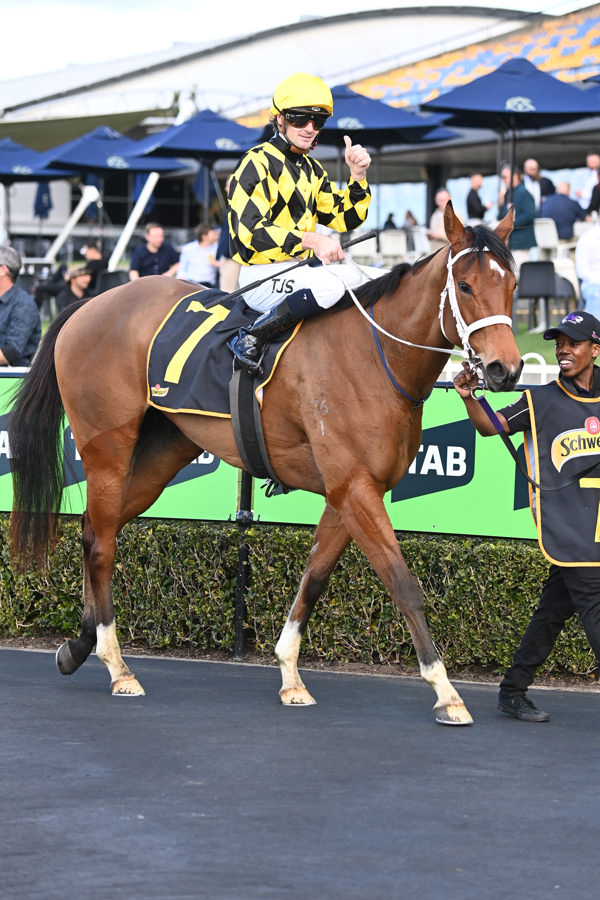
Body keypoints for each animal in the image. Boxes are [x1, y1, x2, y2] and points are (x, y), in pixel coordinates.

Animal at [11, 204, 524, 724]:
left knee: (95, 529)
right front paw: (446, 691)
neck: (376, 358)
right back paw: (117, 667)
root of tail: (90, 304)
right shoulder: (355, 489)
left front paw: (291, 676)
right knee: (102, 545)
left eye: (513, 284)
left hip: (160, 455)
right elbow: (403, 584)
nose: (505, 370)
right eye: (466, 286)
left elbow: (314, 580)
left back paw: (79, 645)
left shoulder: (348, 492)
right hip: (108, 450)